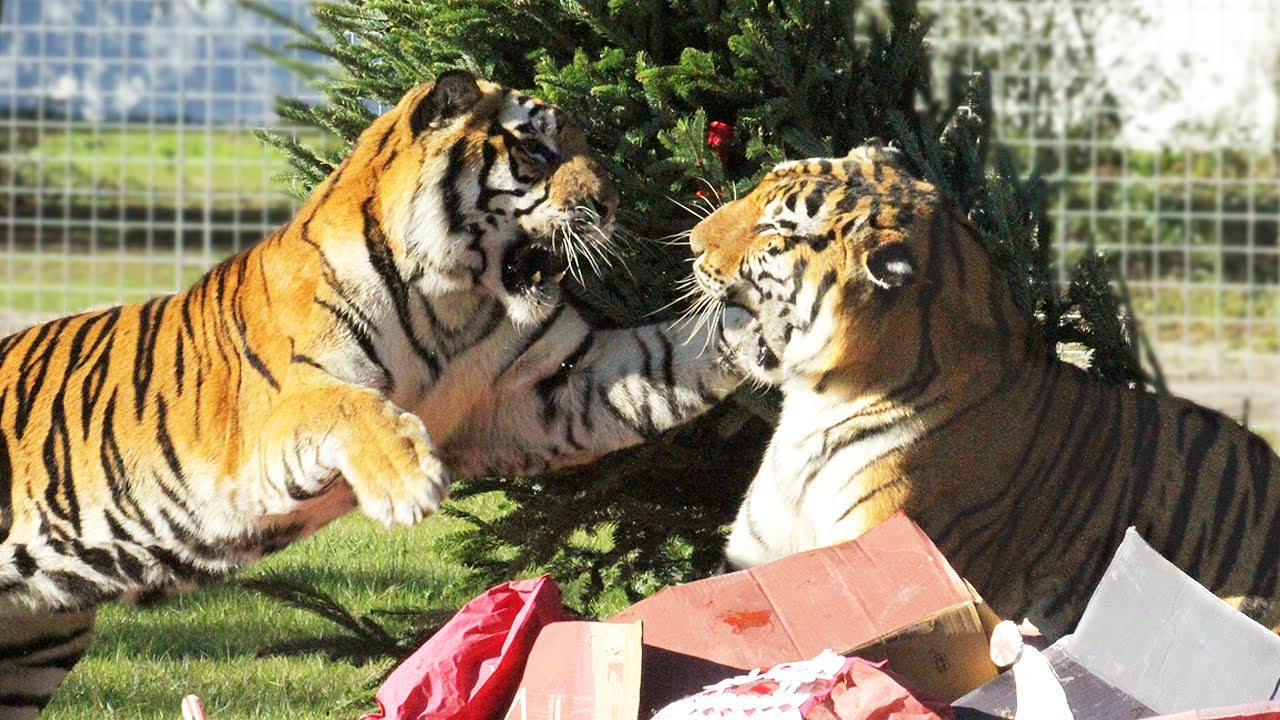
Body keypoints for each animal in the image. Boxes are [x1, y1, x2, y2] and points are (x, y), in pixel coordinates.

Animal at [0, 71, 740, 717]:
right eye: (535, 148)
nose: (612, 207)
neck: (455, 303)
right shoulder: (271, 423)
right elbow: (351, 405)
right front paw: (408, 479)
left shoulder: (553, 391)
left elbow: (671, 352)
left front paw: (757, 315)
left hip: (34, 645)